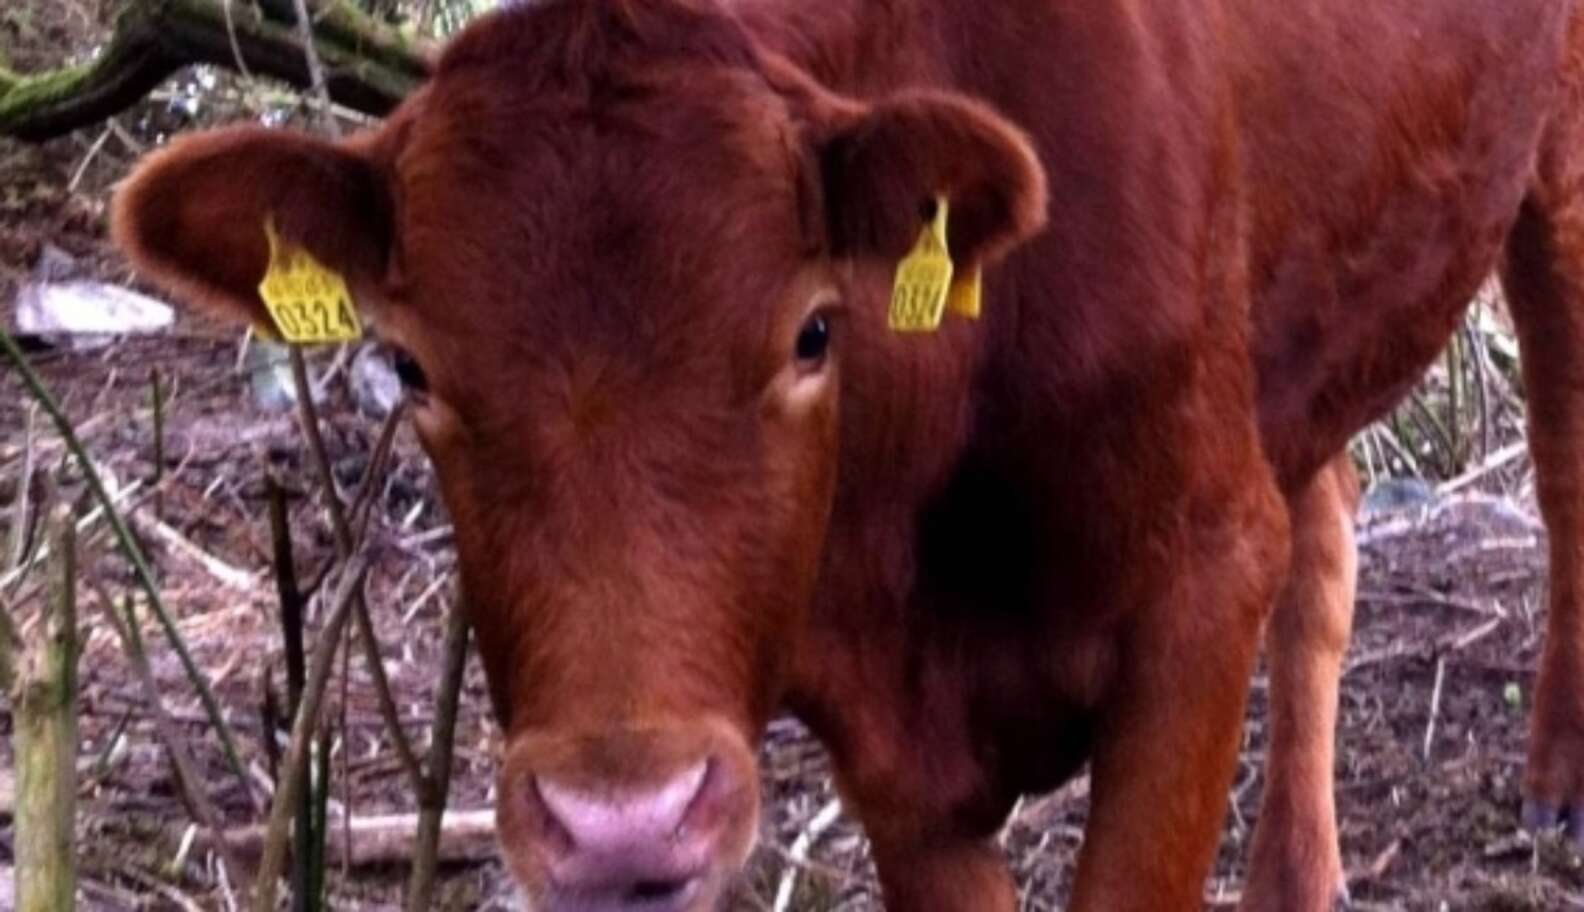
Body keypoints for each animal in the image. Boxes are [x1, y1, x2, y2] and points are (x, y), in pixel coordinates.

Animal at [109, 0, 1584, 909]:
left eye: (814, 330)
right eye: (411, 367)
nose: (624, 822)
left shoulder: (1195, 584)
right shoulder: (882, 726)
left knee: (1560, 446)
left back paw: (1557, 778)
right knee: (1326, 521)